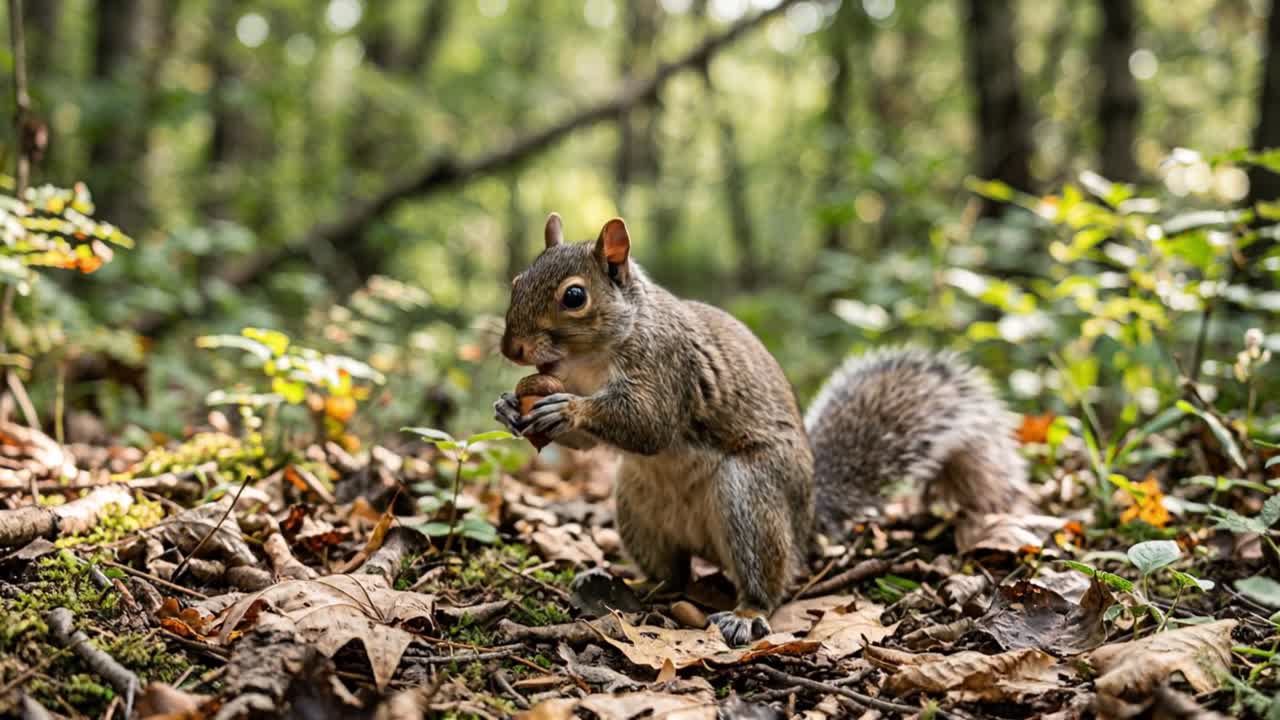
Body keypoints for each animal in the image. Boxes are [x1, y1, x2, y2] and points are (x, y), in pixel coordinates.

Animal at [494, 213, 1030, 646]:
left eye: (574, 296)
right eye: (516, 280)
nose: (512, 349)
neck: (588, 362)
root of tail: (804, 525)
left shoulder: (667, 366)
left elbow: (649, 426)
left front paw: (569, 410)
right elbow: (588, 445)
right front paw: (508, 407)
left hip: (750, 498)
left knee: (766, 582)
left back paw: (746, 613)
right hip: (637, 507)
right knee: (674, 575)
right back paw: (632, 584)